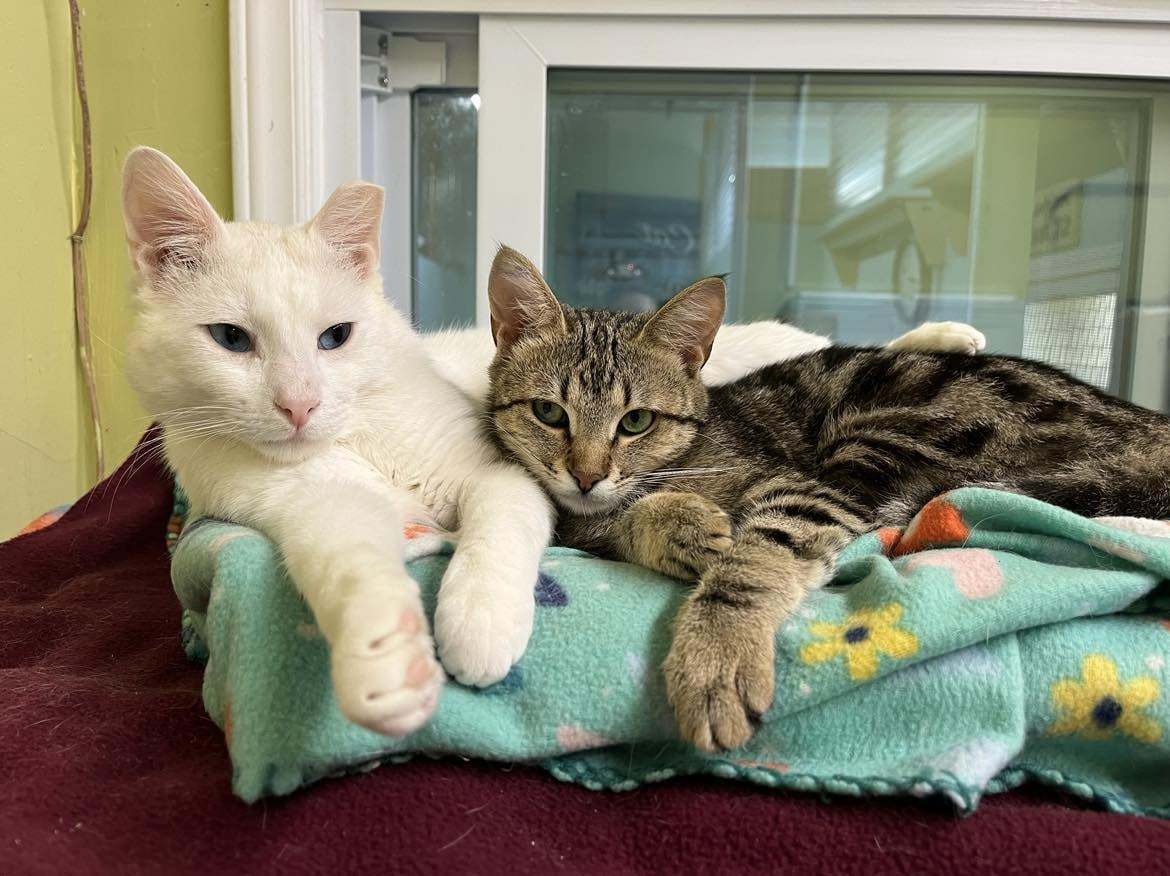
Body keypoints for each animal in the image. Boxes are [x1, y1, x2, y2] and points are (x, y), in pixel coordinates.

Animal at [121, 146, 978, 734]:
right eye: (231, 339)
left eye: (337, 336)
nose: (299, 405)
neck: (355, 438)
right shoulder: (310, 510)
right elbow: (351, 570)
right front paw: (384, 662)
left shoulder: (494, 474)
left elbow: (497, 538)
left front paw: (478, 627)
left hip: (769, 356)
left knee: (827, 343)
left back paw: (949, 335)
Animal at [486, 244, 1170, 753]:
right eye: (549, 412)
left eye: (636, 422)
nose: (585, 475)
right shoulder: (583, 518)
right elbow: (612, 523)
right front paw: (677, 525)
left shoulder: (796, 487)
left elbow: (753, 560)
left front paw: (715, 656)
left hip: (886, 432)